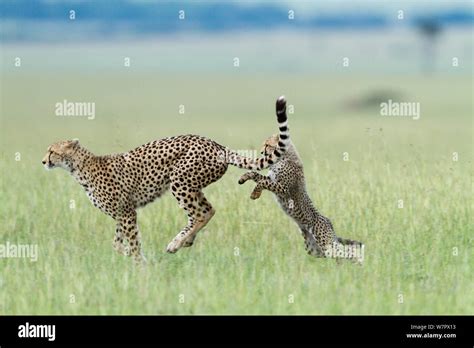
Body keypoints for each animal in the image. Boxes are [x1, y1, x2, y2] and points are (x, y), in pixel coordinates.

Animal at [42, 95, 290, 260]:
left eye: (52, 151)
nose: (43, 161)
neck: (79, 167)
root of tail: (216, 144)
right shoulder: (122, 213)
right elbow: (118, 241)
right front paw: (123, 254)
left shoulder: (127, 212)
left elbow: (133, 241)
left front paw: (138, 265)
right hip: (193, 185)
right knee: (208, 210)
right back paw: (185, 240)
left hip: (179, 181)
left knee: (200, 213)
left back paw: (176, 243)